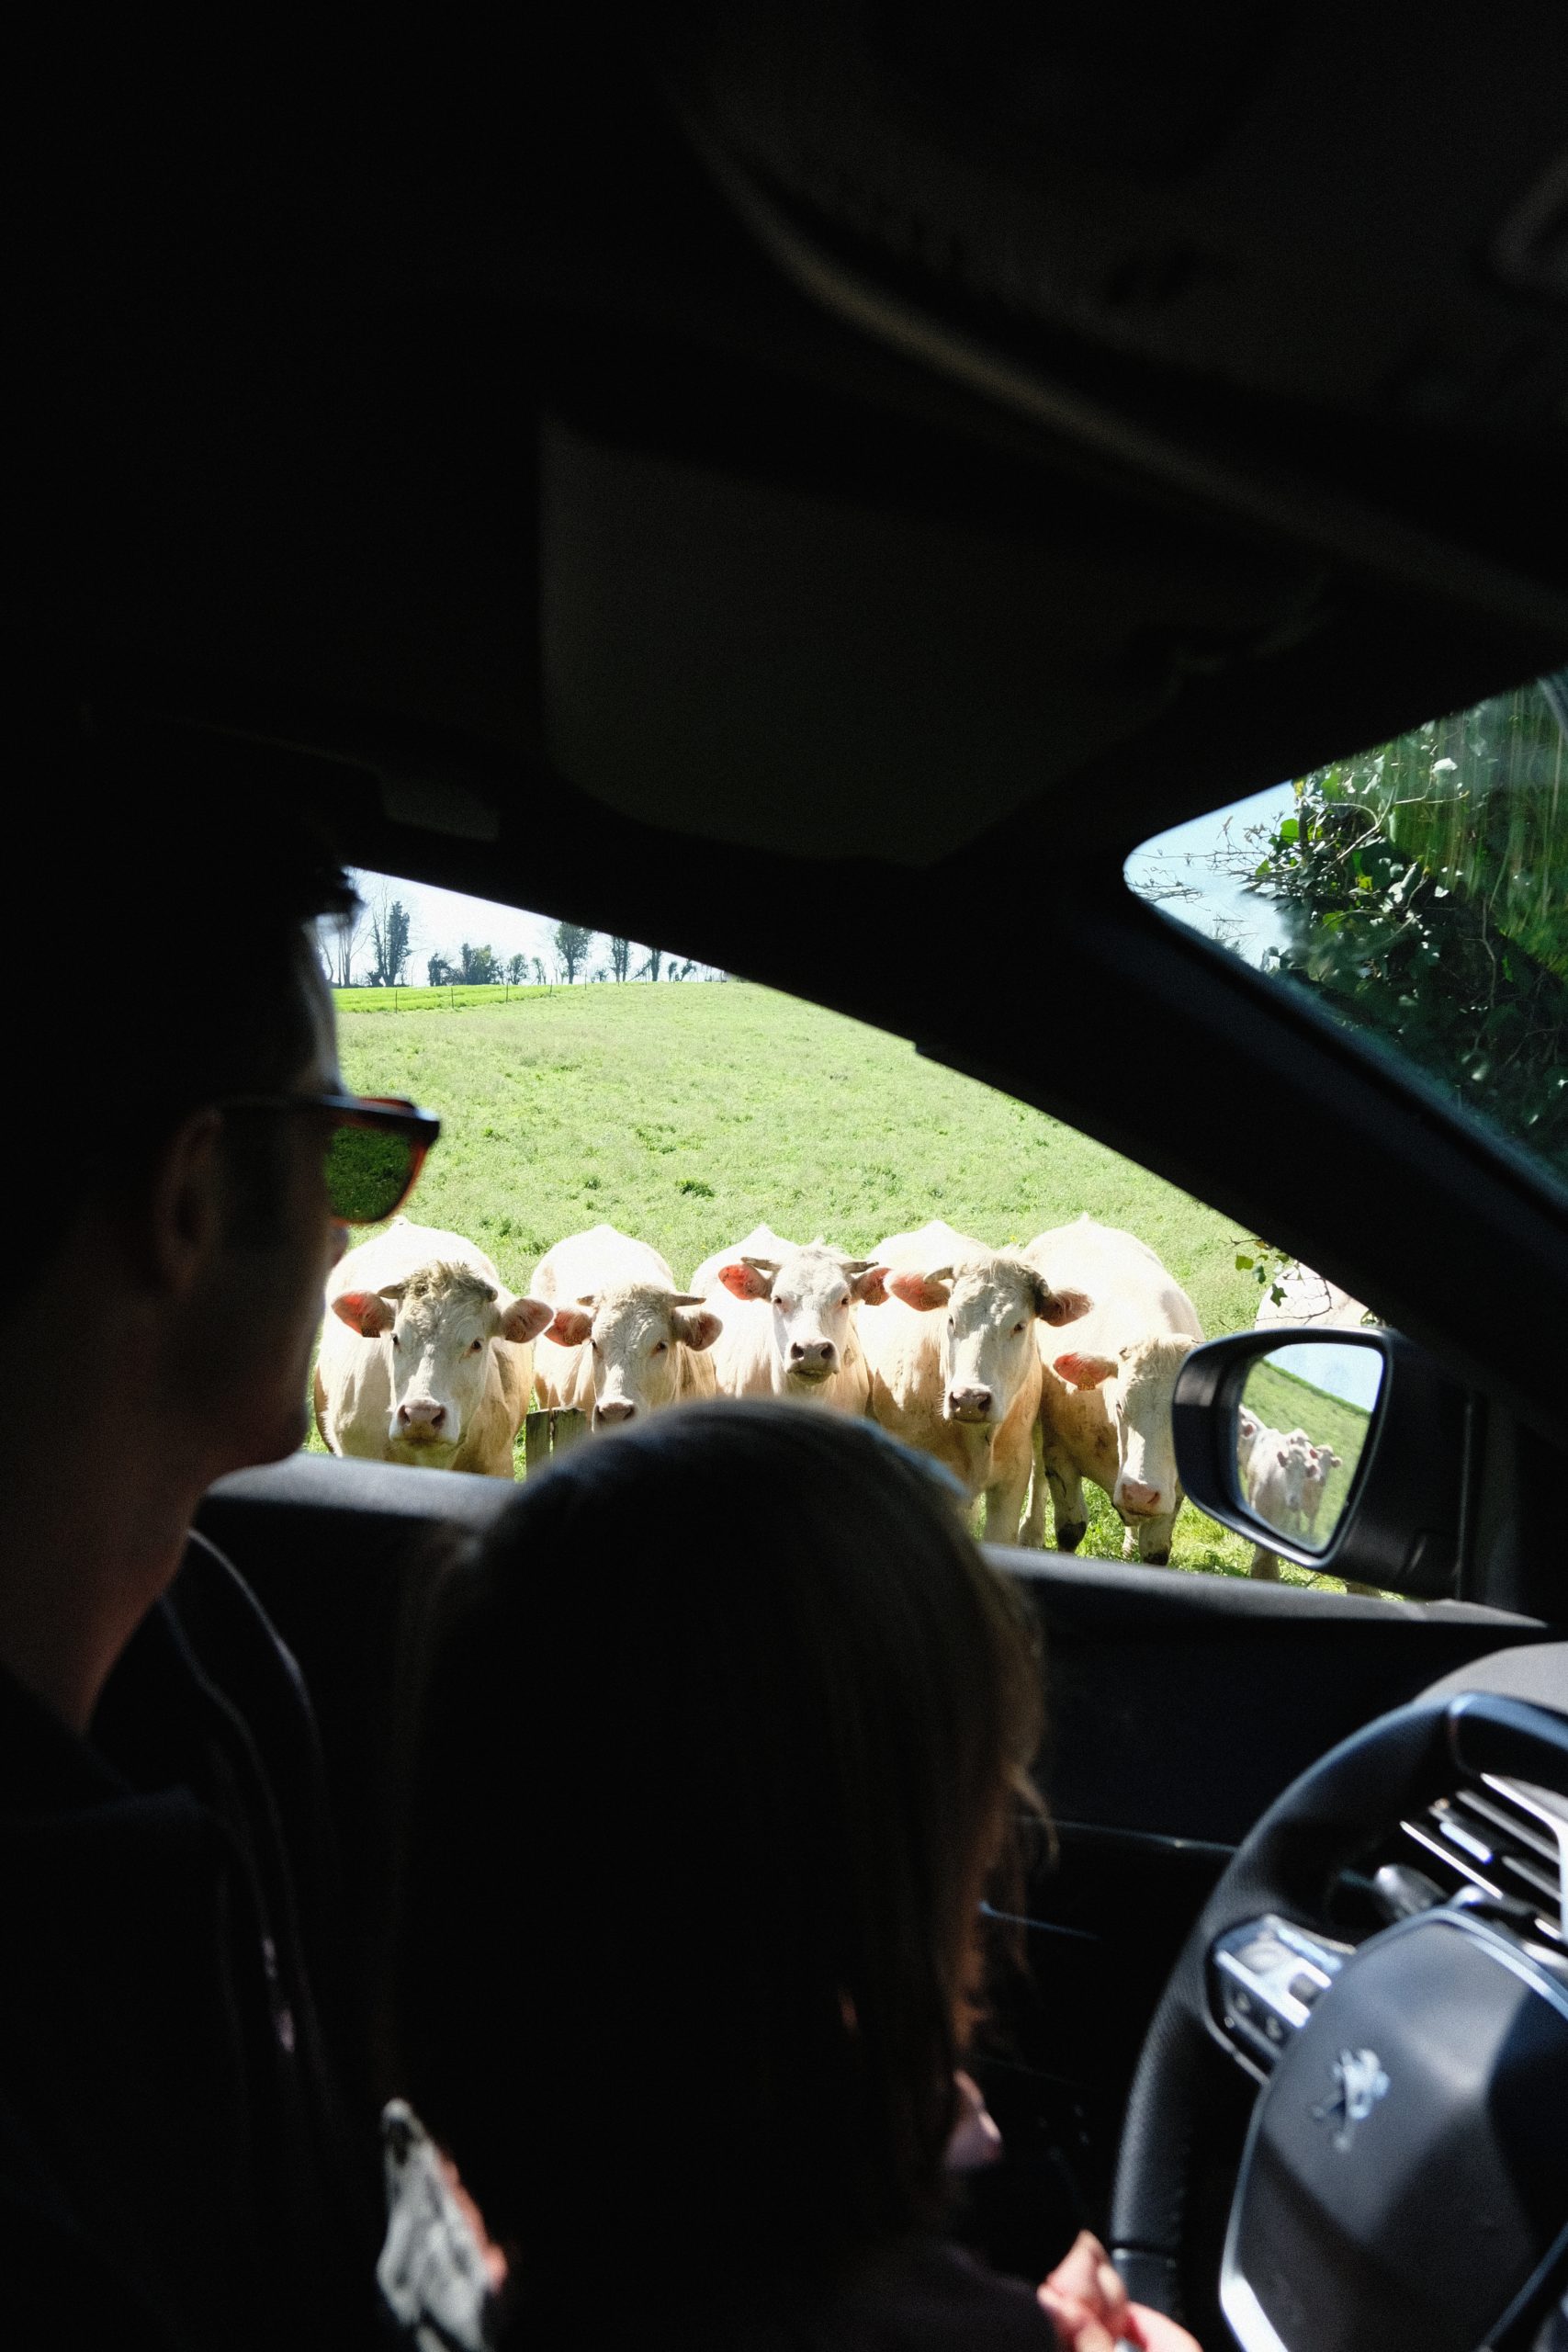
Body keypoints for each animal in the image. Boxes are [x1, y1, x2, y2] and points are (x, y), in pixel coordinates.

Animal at [1029, 1223, 1203, 1571]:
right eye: (1119, 1406)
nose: (1139, 1492)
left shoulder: (1173, 1490)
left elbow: (1156, 1551)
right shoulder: (1060, 1458)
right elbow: (1070, 1529)